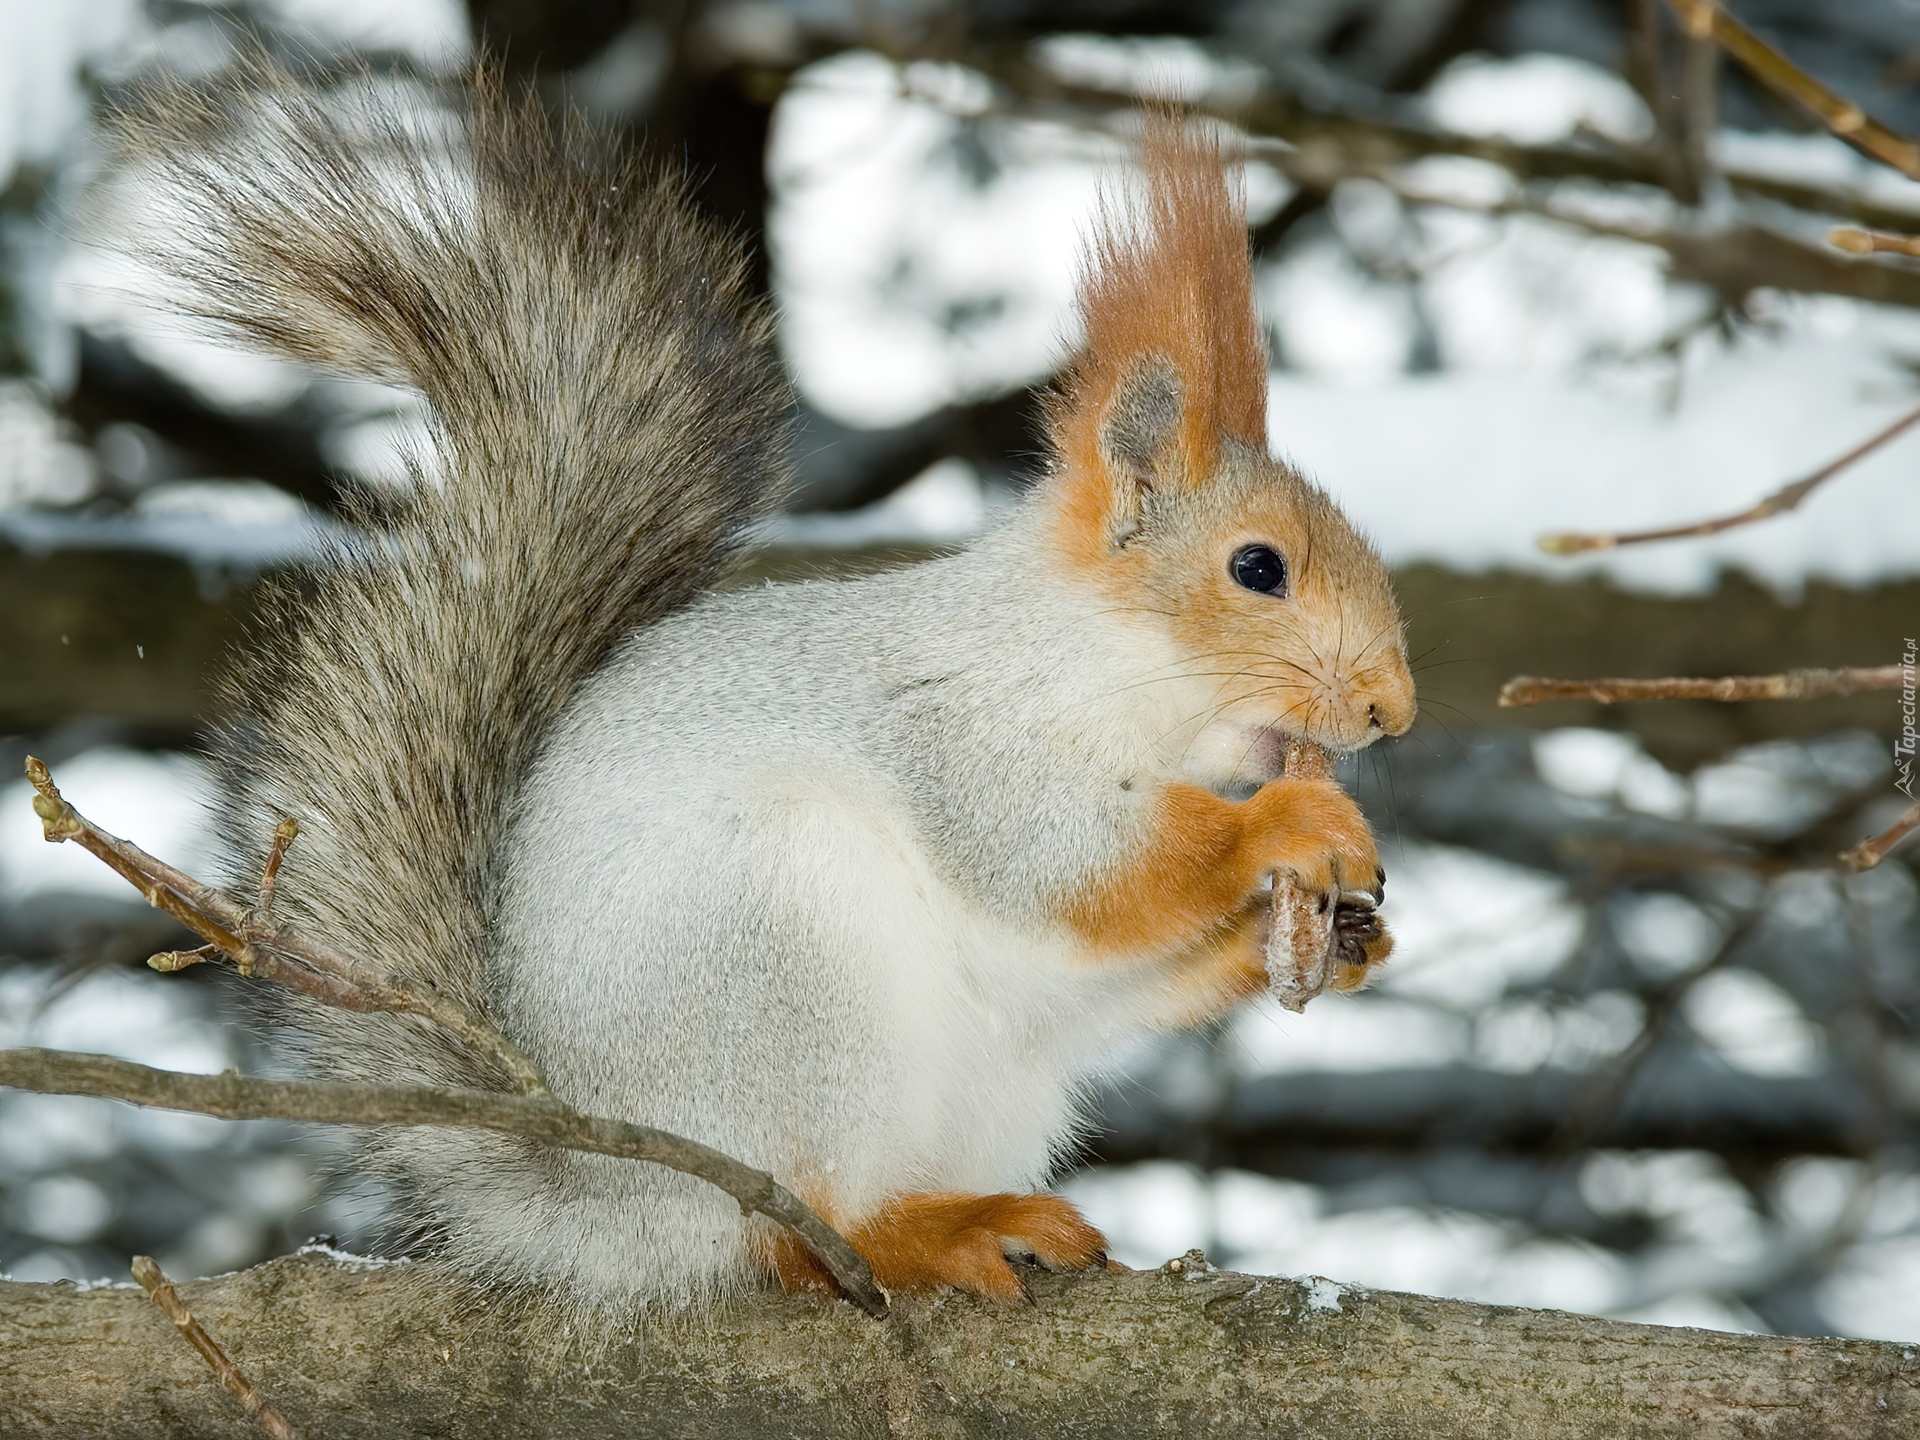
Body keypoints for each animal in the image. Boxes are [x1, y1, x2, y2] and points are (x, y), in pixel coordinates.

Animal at [116, 61, 1413, 1313]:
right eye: (1257, 567)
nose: (1391, 709)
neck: (1103, 658)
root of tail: (613, 1204)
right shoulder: (967, 736)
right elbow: (1071, 863)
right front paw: (1290, 824)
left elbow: (1111, 974)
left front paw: (1337, 937)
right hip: (782, 950)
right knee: (794, 1234)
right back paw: (918, 1235)